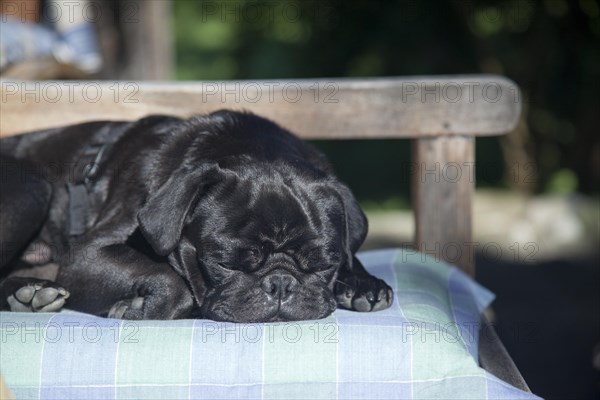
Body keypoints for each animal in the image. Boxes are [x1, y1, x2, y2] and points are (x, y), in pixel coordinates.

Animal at [0, 109, 392, 322]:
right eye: (225, 263)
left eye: (324, 265)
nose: (280, 283)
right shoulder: (87, 255)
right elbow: (173, 283)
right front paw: (138, 306)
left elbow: (353, 255)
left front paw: (363, 283)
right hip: (31, 189)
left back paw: (30, 293)